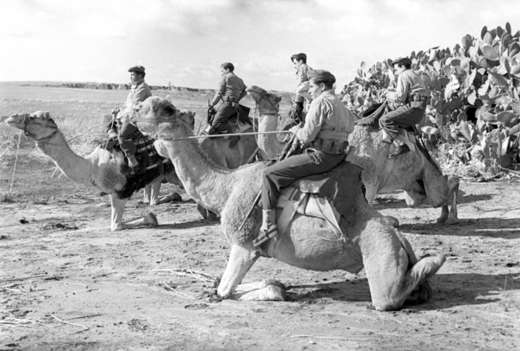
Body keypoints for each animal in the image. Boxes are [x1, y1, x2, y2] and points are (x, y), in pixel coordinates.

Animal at [4, 112, 181, 231]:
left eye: (35, 117)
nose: (11, 117)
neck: (92, 166)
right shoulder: (115, 193)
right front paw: (152, 217)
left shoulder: (121, 191)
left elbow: (116, 225)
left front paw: (151, 218)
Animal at [135, 95, 446, 310]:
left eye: (165, 109)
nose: (136, 110)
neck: (226, 187)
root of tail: (400, 241)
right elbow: (250, 285)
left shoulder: (244, 245)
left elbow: (226, 291)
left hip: (382, 265)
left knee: (391, 295)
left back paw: (435, 257)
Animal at [248, 87, 460, 226]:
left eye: (269, 95)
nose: (252, 89)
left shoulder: (370, 175)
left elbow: (367, 200)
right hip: (414, 186)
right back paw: (443, 216)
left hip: (430, 181)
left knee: (449, 183)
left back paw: (450, 217)